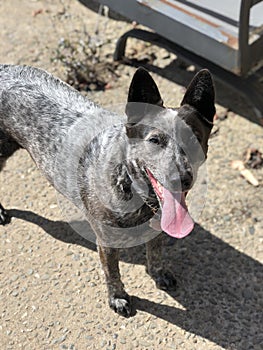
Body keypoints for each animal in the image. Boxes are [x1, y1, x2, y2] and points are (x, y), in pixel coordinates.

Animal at [0, 63, 216, 318]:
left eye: (194, 140)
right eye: (154, 140)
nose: (181, 179)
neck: (131, 185)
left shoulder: (156, 231)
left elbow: (155, 253)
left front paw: (158, 273)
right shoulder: (106, 242)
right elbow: (112, 272)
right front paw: (118, 297)